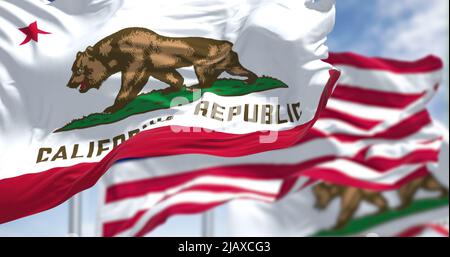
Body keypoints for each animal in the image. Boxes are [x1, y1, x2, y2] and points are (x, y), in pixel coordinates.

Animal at [66, 26, 256, 113]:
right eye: (73, 69)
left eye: (79, 70)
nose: (69, 84)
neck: (114, 53)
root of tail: (228, 44)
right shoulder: (155, 67)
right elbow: (173, 76)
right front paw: (170, 88)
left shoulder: (136, 61)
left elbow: (129, 84)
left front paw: (111, 107)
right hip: (226, 62)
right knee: (236, 69)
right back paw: (250, 78)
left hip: (205, 62)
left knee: (209, 76)